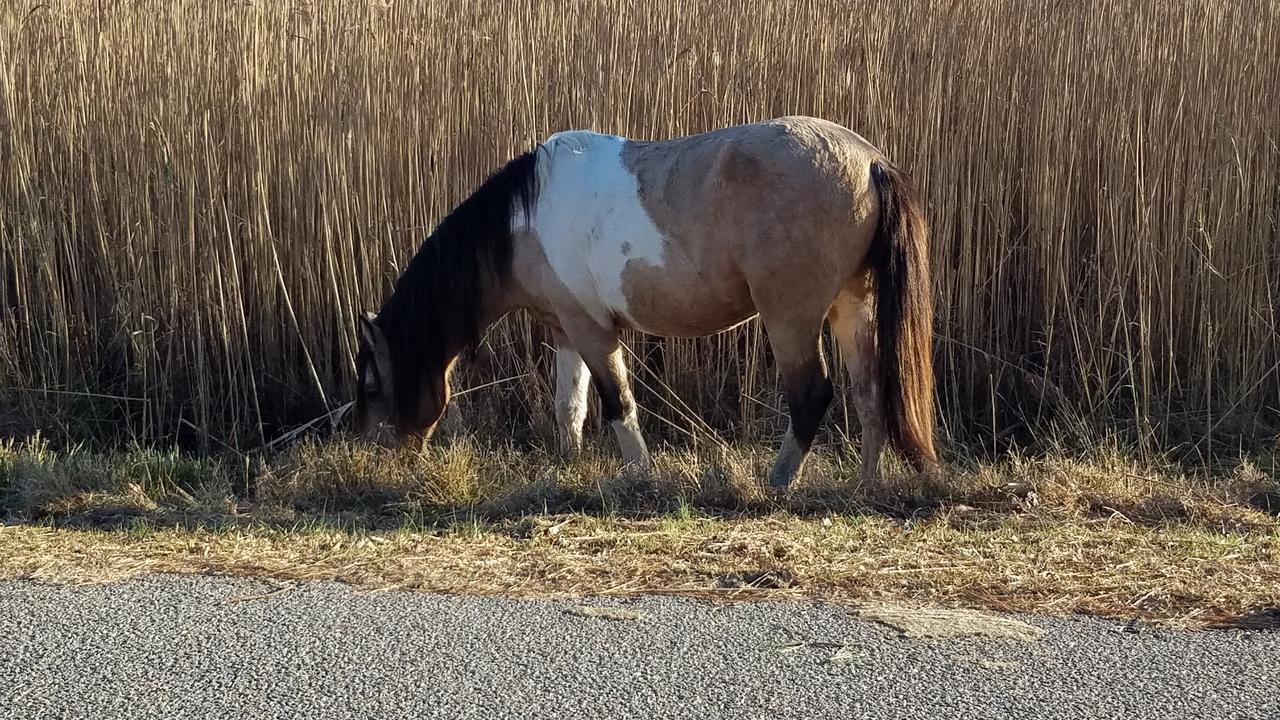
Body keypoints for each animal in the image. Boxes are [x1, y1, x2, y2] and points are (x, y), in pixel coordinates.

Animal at [355, 116, 936, 486]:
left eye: (372, 386)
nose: (370, 458)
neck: (526, 219)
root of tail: (870, 161)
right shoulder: (567, 329)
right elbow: (570, 407)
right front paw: (568, 471)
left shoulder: (593, 330)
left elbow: (618, 403)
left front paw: (641, 476)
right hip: (850, 308)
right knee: (870, 392)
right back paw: (866, 485)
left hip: (790, 317)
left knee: (812, 395)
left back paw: (777, 484)